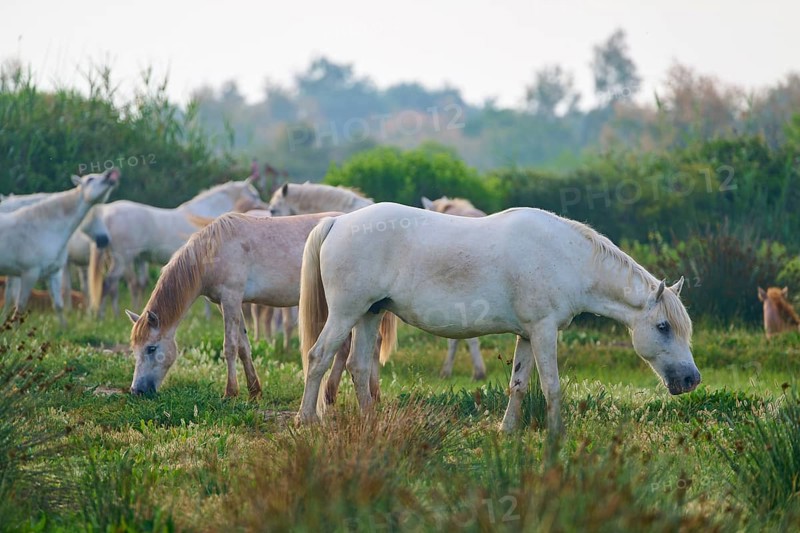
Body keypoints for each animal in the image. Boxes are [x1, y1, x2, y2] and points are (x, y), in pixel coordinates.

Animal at [0, 169, 119, 325]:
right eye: (90, 179)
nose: (110, 175)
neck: (45, 227)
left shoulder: (52, 273)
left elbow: (58, 305)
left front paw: (64, 328)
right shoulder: (28, 274)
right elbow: (19, 306)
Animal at [90, 176, 264, 316]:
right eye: (254, 194)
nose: (265, 208)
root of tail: (107, 215)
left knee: (129, 285)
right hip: (123, 258)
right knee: (108, 283)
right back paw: (103, 316)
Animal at [125, 211, 395, 400]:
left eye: (151, 348)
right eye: (135, 350)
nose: (137, 391)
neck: (212, 251)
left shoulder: (231, 298)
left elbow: (229, 347)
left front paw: (230, 392)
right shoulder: (228, 304)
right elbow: (244, 346)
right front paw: (254, 390)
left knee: (371, 345)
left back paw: (371, 393)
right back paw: (334, 393)